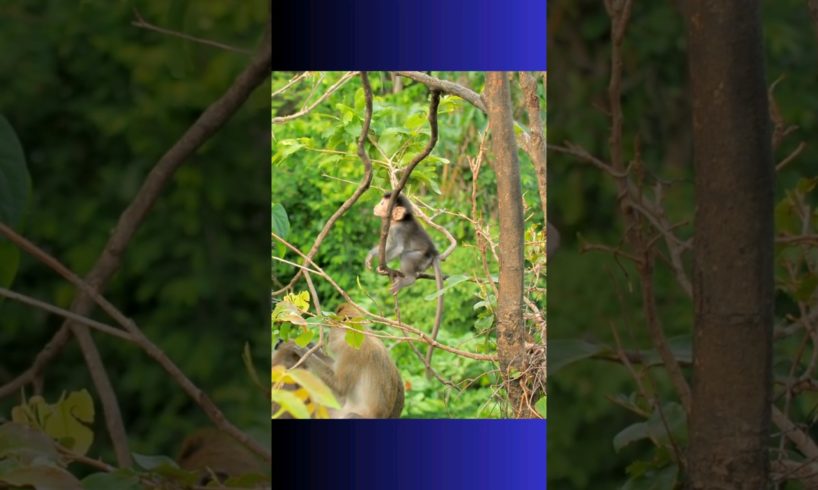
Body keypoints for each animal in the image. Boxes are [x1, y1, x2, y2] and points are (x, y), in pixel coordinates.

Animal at [364, 191, 444, 376]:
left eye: (382, 203)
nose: (376, 206)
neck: (398, 221)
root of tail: (434, 254)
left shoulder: (398, 230)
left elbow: (397, 248)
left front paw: (382, 265)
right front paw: (372, 255)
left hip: (420, 258)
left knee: (406, 255)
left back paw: (408, 279)